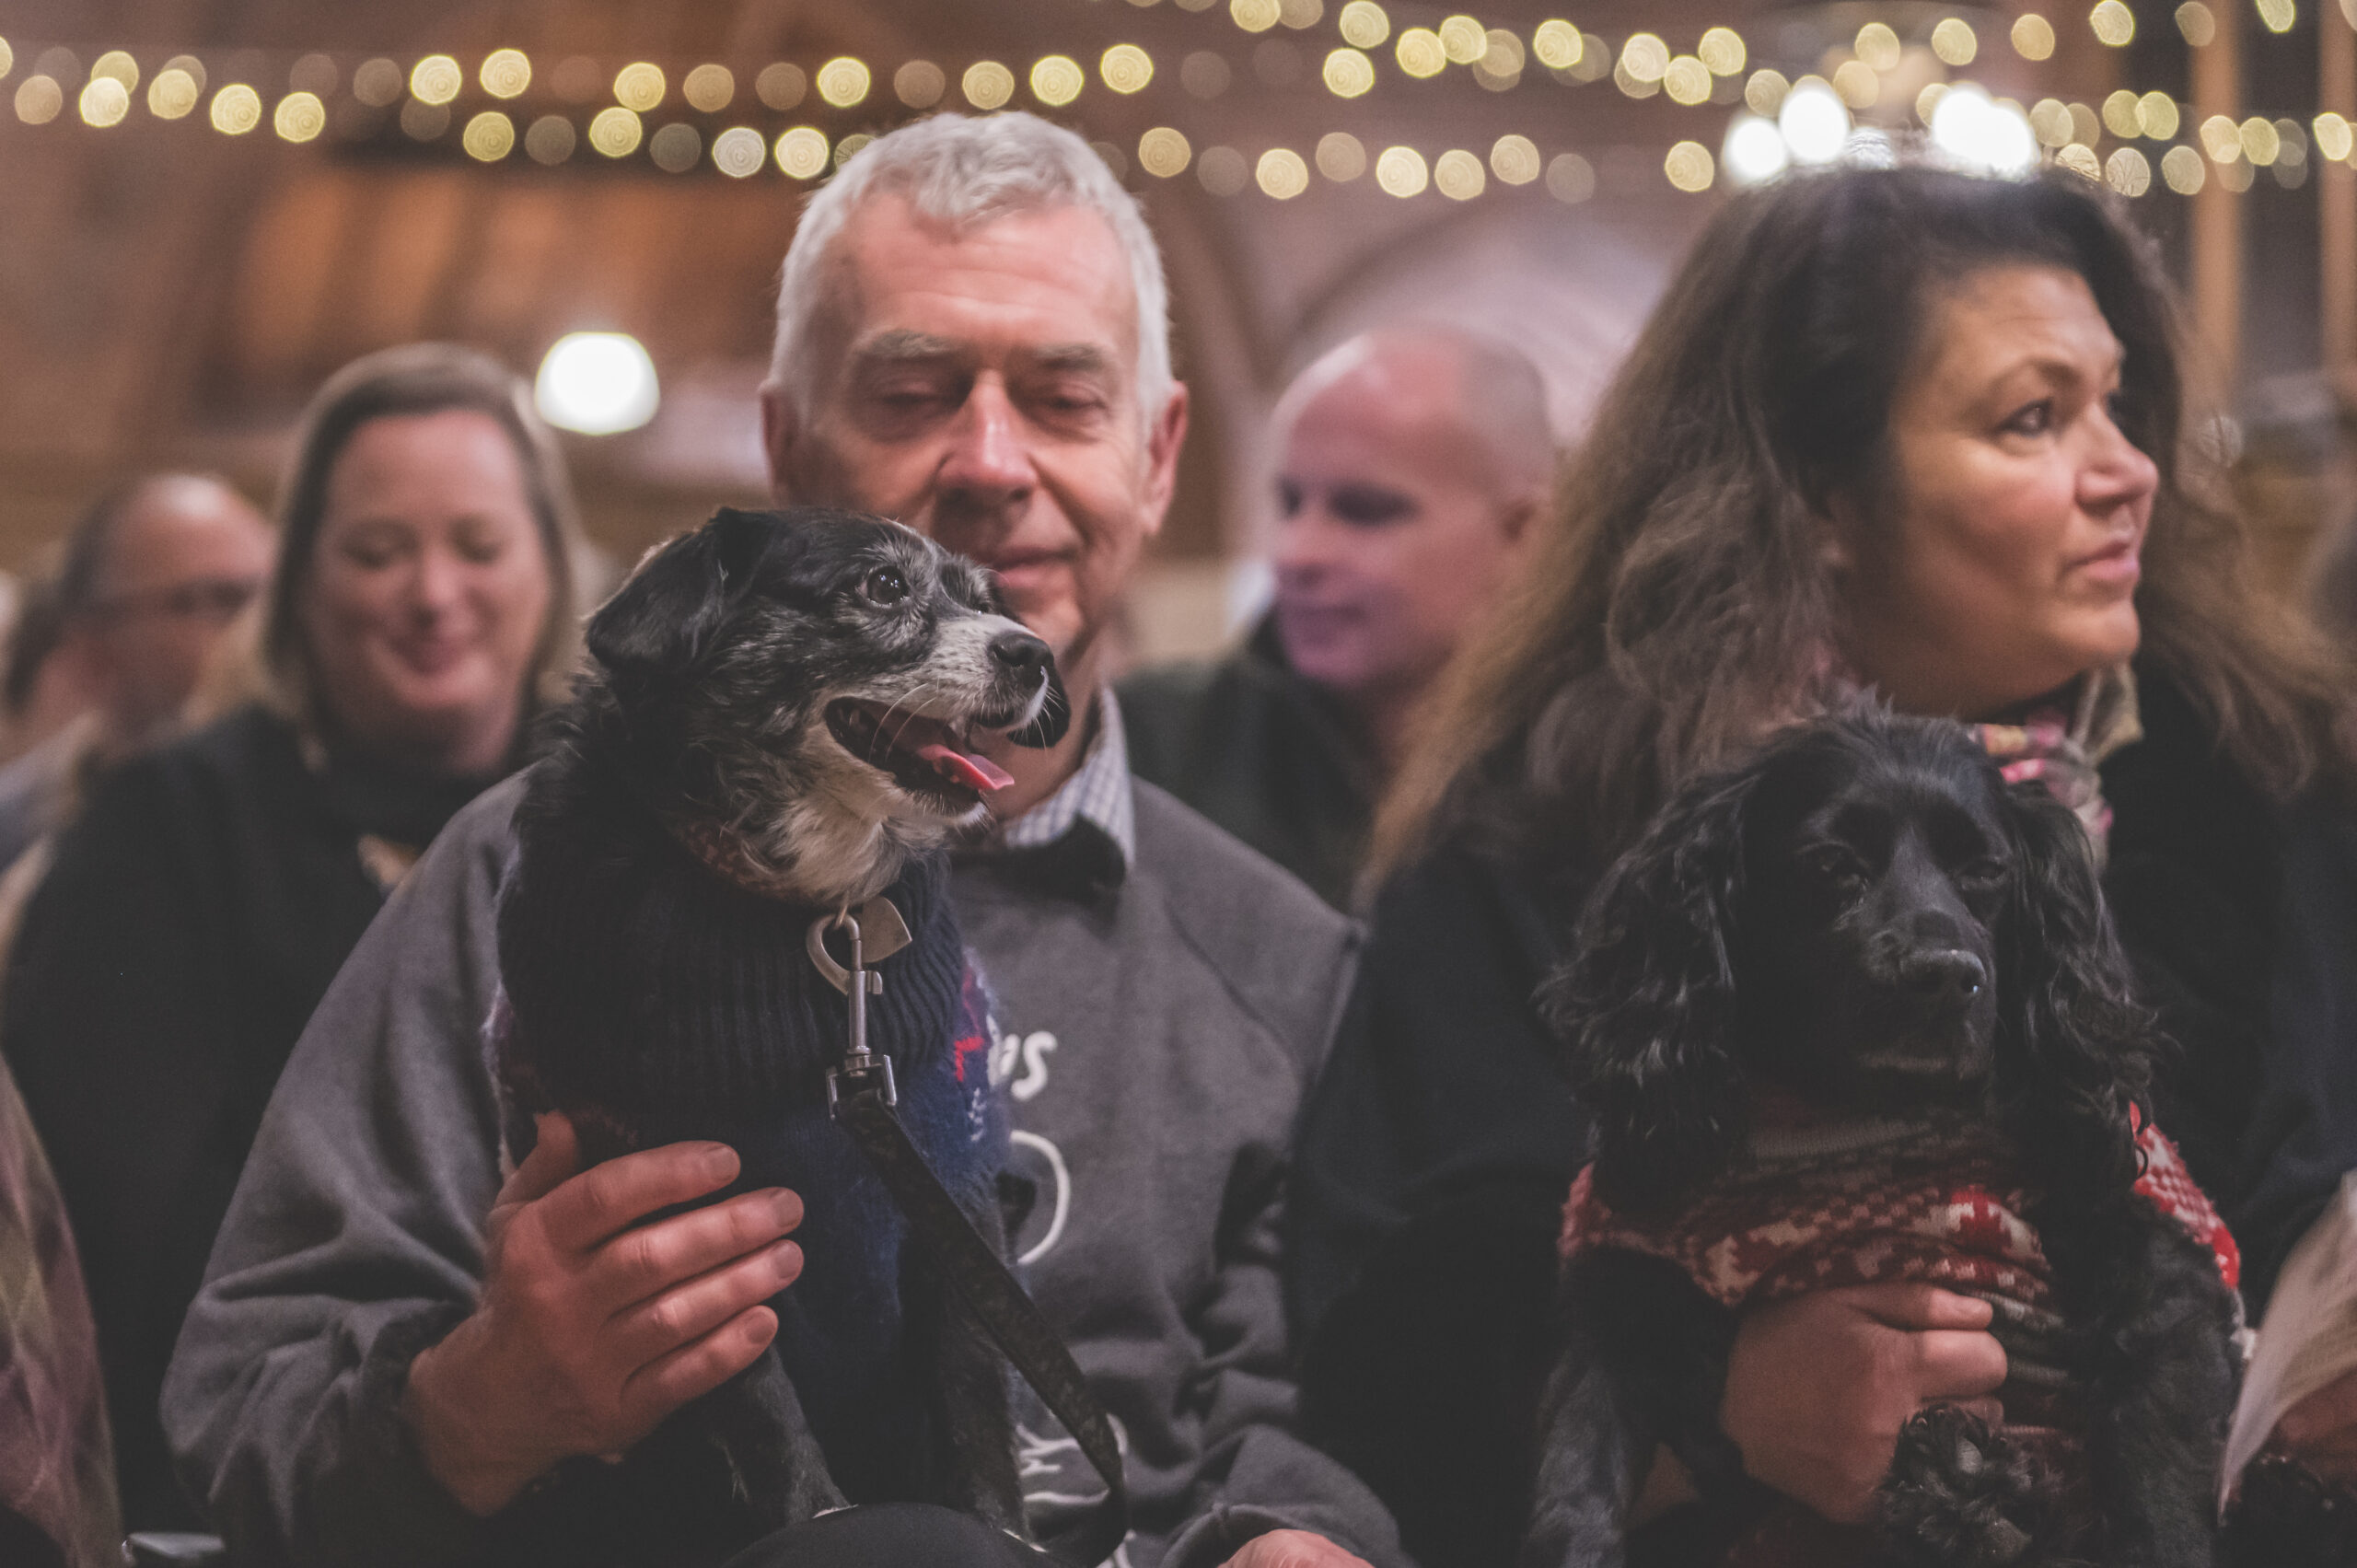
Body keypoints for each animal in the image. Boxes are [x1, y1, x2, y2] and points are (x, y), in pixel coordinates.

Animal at [492, 505, 1069, 1565]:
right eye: (882, 586)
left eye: (987, 597)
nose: (1035, 652)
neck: (803, 903)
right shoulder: (681, 1228)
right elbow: (760, 1404)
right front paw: (822, 1518)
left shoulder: (951, 1198)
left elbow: (975, 1393)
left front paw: (1003, 1528)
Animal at [1522, 709, 2244, 1568]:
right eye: (1833, 865)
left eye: (1986, 872)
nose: (1946, 972)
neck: (1855, 1115)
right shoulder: (1627, 1292)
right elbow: (1578, 1466)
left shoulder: (2158, 1275)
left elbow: (2156, 1484)